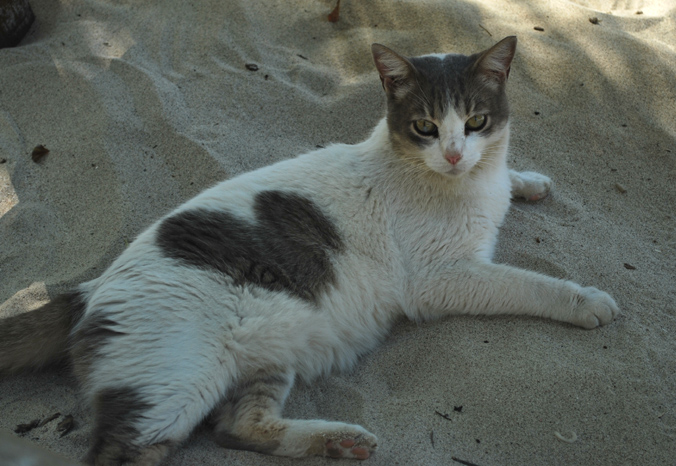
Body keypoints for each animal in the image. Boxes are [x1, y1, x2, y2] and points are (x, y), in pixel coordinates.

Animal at [0, 36, 616, 466]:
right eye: (424, 126)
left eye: (475, 121)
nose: (454, 155)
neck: (457, 182)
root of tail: (88, 291)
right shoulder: (442, 276)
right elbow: (529, 282)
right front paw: (587, 301)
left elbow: (510, 180)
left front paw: (528, 181)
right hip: (176, 382)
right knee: (124, 452)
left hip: (266, 356)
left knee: (238, 427)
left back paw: (340, 441)